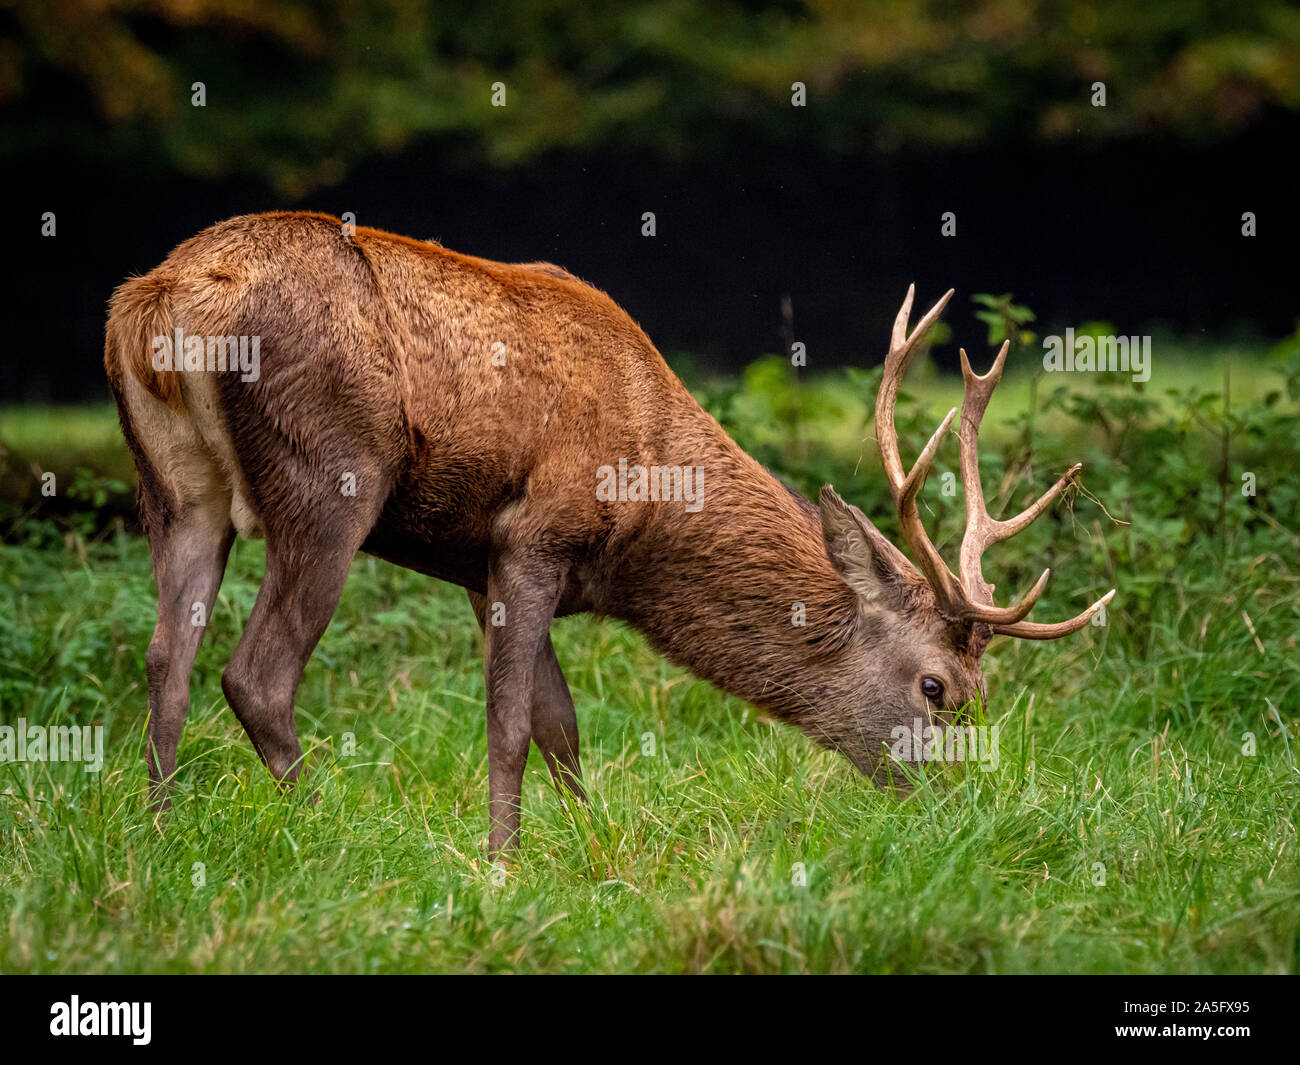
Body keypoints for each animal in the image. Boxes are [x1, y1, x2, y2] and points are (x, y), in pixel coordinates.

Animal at [104, 211, 1113, 855]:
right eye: (939, 688)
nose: (958, 810)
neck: (647, 508)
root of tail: (159, 299)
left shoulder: (479, 563)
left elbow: (562, 724)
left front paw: (596, 847)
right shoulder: (533, 535)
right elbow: (514, 720)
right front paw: (503, 863)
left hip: (174, 487)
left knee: (164, 659)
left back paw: (157, 835)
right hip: (330, 476)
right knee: (256, 673)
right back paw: (330, 828)